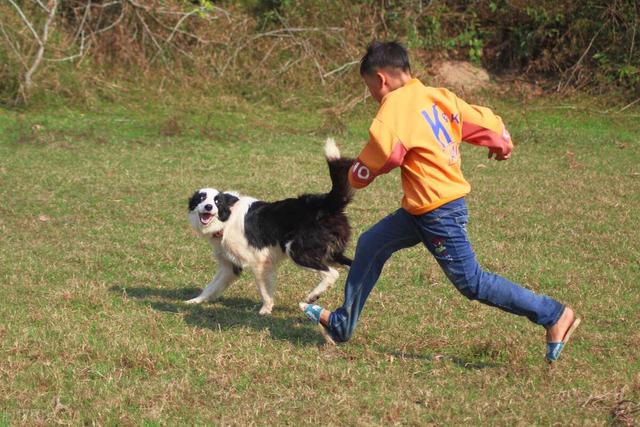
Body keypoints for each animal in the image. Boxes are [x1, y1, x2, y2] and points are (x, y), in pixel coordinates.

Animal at [185, 139, 356, 316]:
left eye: (217, 201)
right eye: (201, 198)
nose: (208, 207)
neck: (227, 219)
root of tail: (326, 203)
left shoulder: (259, 262)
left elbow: (264, 291)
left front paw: (265, 310)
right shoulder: (229, 267)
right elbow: (210, 287)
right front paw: (194, 301)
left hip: (298, 251)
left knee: (332, 274)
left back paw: (312, 296)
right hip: (331, 254)